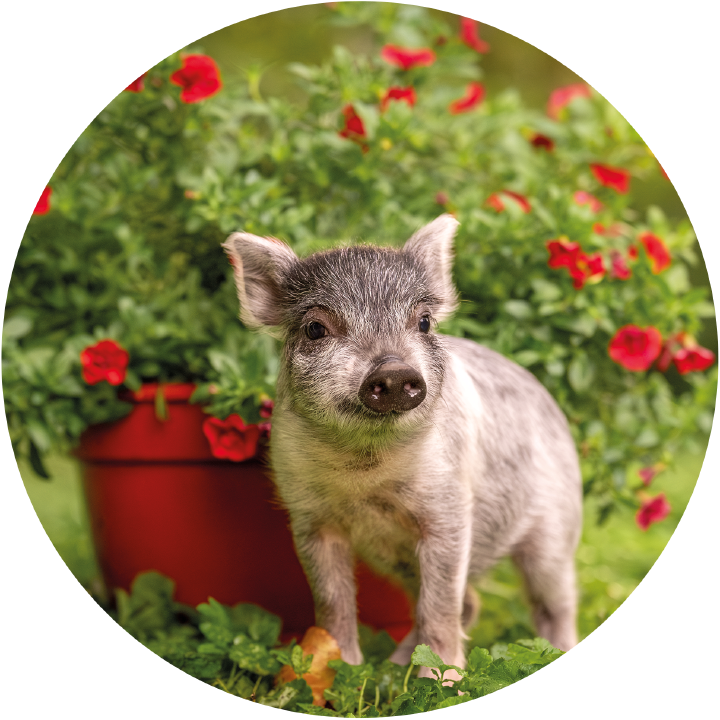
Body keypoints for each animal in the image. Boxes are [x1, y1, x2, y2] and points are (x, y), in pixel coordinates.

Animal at [222, 214, 582, 681]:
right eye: (316, 328)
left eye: (424, 321)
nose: (393, 369)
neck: (365, 474)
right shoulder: (310, 517)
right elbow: (332, 603)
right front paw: (335, 673)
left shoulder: (449, 510)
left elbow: (439, 605)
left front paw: (444, 684)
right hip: (398, 560)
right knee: (470, 603)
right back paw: (394, 669)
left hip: (556, 529)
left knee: (553, 605)